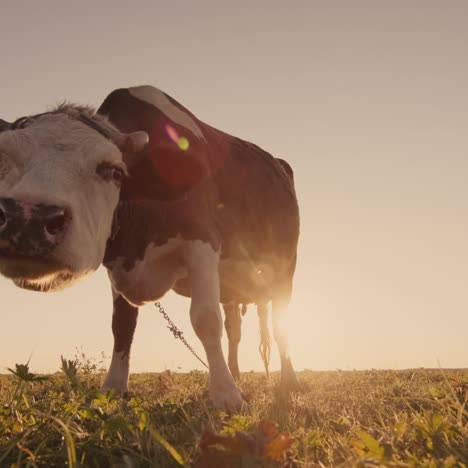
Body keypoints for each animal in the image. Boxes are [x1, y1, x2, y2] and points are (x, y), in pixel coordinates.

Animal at [0, 86, 300, 408]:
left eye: (114, 171)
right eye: (2, 160)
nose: (28, 217)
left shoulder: (202, 239)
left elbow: (206, 318)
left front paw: (226, 395)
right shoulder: (119, 264)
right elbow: (122, 326)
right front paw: (114, 387)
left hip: (285, 272)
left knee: (281, 325)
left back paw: (288, 382)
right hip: (232, 291)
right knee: (235, 329)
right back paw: (237, 375)